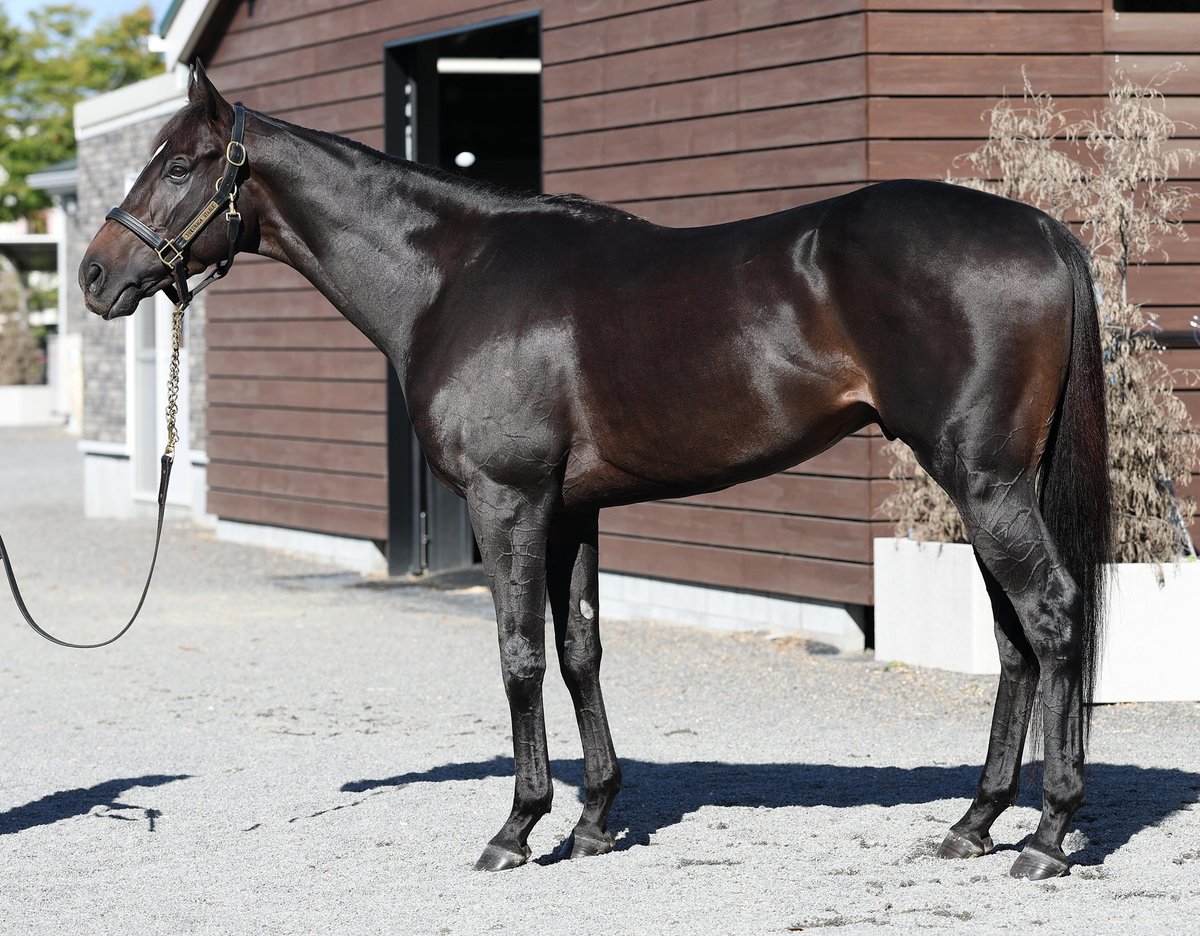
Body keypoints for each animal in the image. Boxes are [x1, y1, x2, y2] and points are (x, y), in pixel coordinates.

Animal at [80, 62, 1111, 880]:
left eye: (179, 164)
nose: (94, 276)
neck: (455, 275)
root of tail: (1042, 229)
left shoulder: (509, 502)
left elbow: (520, 657)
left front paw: (517, 828)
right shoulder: (572, 511)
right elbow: (580, 652)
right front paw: (593, 820)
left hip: (983, 483)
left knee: (1053, 617)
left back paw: (1046, 835)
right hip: (985, 485)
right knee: (1015, 640)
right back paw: (974, 823)